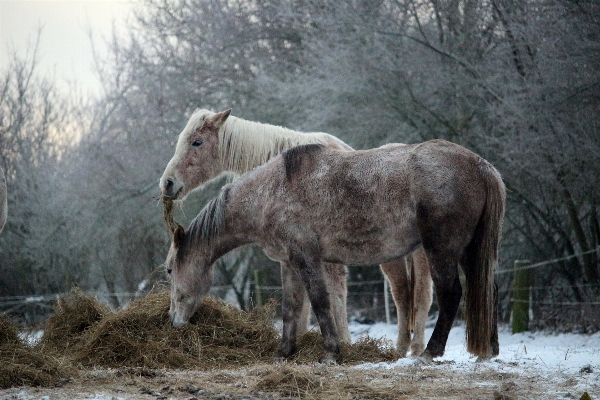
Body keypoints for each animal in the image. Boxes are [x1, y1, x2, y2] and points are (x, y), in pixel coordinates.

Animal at [164, 139, 506, 364]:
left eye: (169, 270)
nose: (173, 321)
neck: (271, 191)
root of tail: (479, 164)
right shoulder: (289, 263)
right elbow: (291, 308)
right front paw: (284, 353)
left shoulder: (307, 258)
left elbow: (319, 301)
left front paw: (330, 351)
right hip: (471, 250)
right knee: (487, 288)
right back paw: (488, 351)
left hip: (441, 250)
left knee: (451, 295)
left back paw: (428, 353)